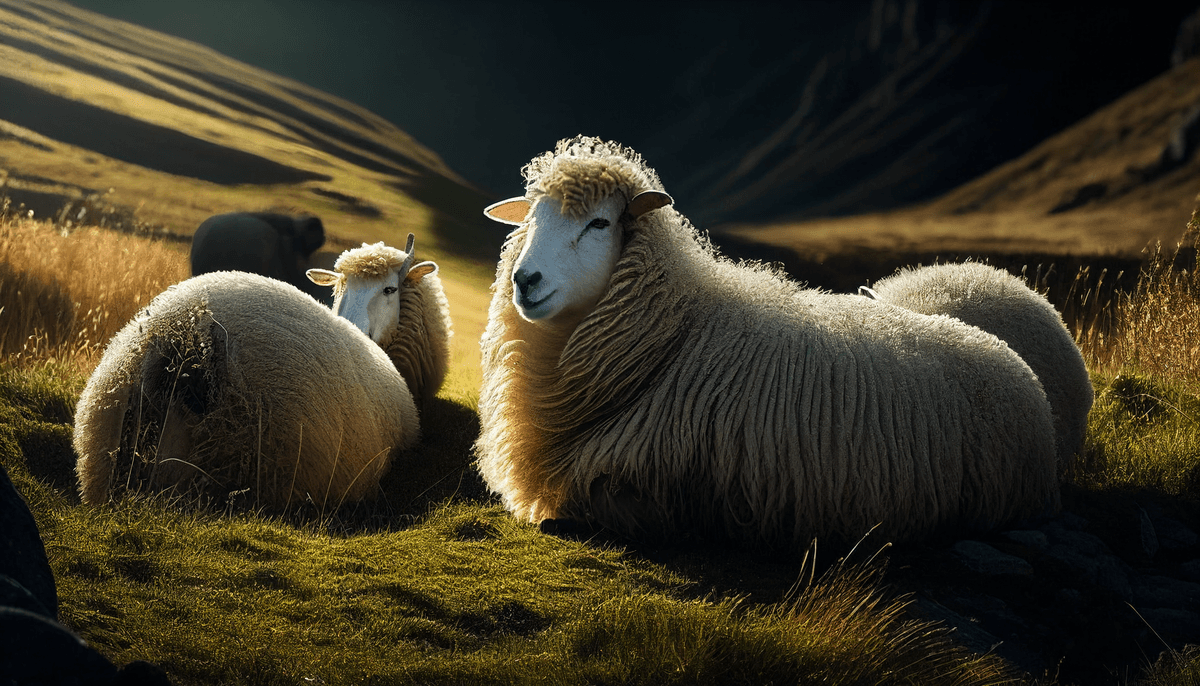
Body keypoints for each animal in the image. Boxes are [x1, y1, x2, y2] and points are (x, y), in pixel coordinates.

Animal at [472, 136, 1056, 549]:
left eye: (599, 223)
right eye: (531, 220)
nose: (525, 280)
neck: (676, 333)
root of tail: (1020, 370)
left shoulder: (649, 483)